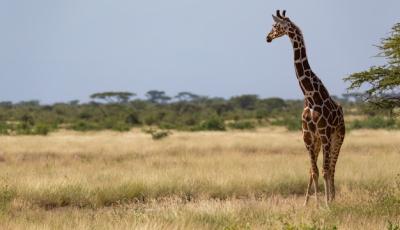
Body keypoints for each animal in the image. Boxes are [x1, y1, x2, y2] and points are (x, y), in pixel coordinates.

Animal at [264, 9, 346, 207]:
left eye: (275, 26)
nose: (267, 37)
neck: (310, 96)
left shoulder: (324, 133)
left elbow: (324, 170)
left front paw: (326, 204)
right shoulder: (307, 136)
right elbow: (313, 171)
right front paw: (313, 204)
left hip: (338, 136)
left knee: (333, 168)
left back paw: (333, 199)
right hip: (317, 141)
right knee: (317, 169)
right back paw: (314, 201)